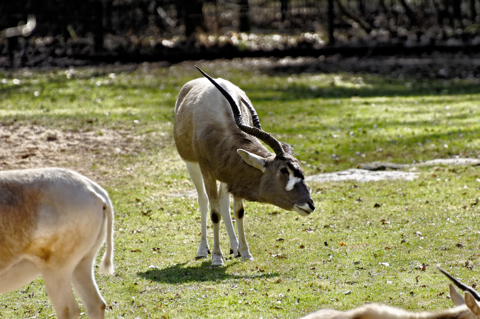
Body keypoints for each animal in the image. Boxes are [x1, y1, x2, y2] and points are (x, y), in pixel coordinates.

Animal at [174, 69, 316, 268]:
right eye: (283, 170)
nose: (310, 204)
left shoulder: (233, 174)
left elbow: (238, 211)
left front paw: (245, 253)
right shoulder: (207, 171)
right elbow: (214, 213)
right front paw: (217, 258)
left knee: (224, 203)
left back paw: (234, 248)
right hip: (192, 165)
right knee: (204, 201)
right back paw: (203, 250)